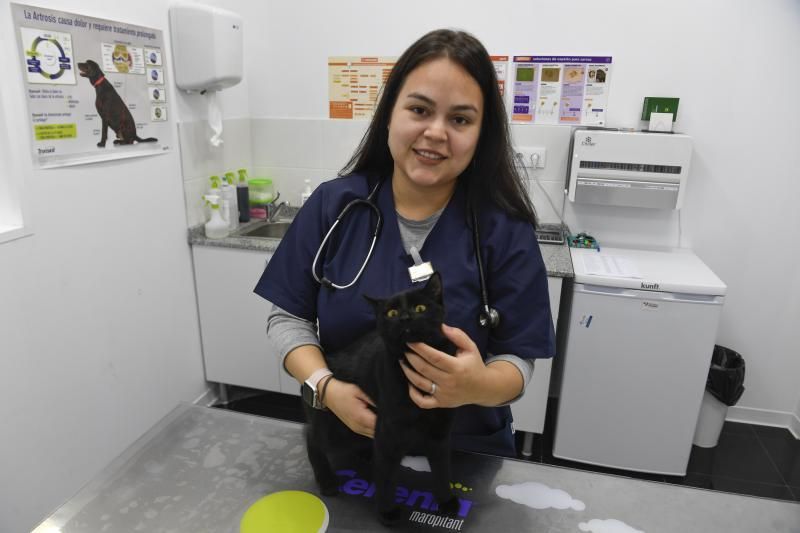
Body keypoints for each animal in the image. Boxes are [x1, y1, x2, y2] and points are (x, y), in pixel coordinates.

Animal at [304, 272, 460, 524]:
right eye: (392, 313)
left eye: (420, 307)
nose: (405, 318)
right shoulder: (389, 433)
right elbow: (386, 476)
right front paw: (387, 512)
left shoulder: (440, 432)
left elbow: (442, 470)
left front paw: (446, 501)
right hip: (338, 431)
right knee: (311, 437)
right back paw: (327, 481)